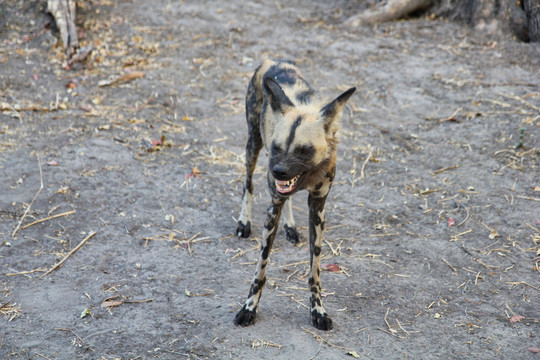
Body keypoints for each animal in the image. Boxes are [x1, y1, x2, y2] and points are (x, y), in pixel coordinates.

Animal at [233, 59, 354, 332]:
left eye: (304, 150)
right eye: (278, 147)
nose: (278, 171)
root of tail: (270, 60)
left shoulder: (317, 208)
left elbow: (314, 271)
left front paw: (318, 310)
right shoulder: (273, 207)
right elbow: (260, 270)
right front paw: (249, 308)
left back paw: (289, 227)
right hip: (253, 145)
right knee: (248, 184)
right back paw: (244, 221)